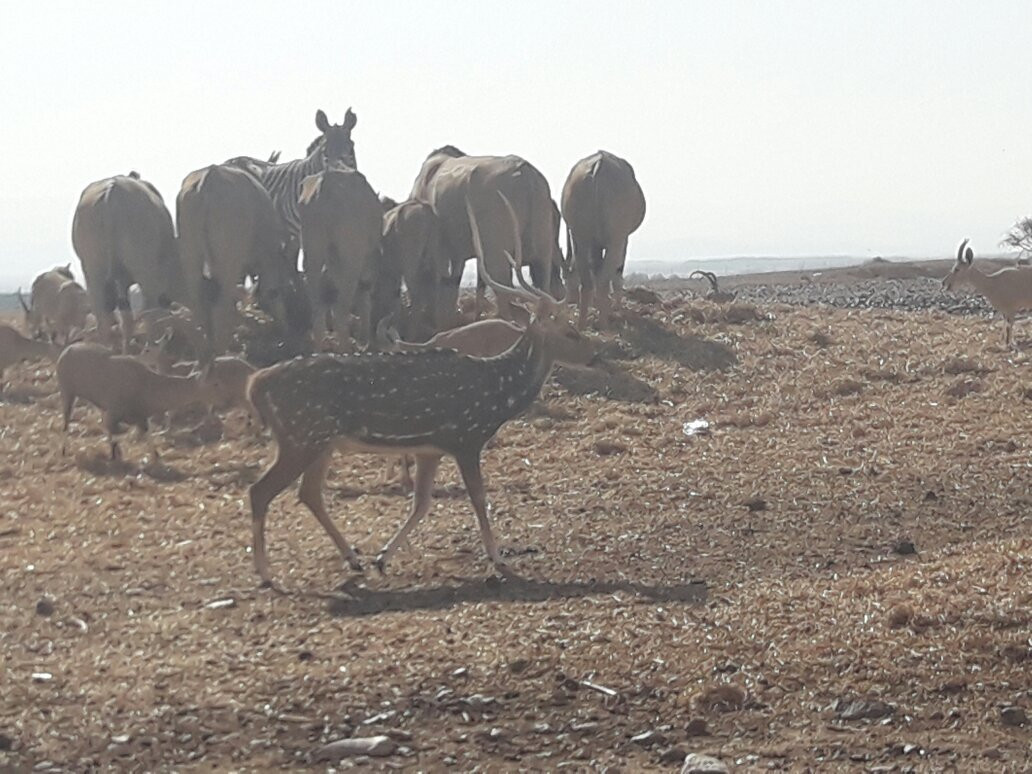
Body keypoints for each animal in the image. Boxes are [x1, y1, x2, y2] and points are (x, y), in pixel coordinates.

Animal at [246, 192, 596, 586]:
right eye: (568, 331)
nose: (594, 354)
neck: (497, 393)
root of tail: (255, 385)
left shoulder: (431, 448)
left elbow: (422, 503)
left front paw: (383, 557)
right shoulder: (465, 437)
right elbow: (478, 498)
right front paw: (498, 558)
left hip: (318, 441)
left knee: (308, 493)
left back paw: (352, 558)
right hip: (302, 436)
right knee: (260, 491)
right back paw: (266, 572)